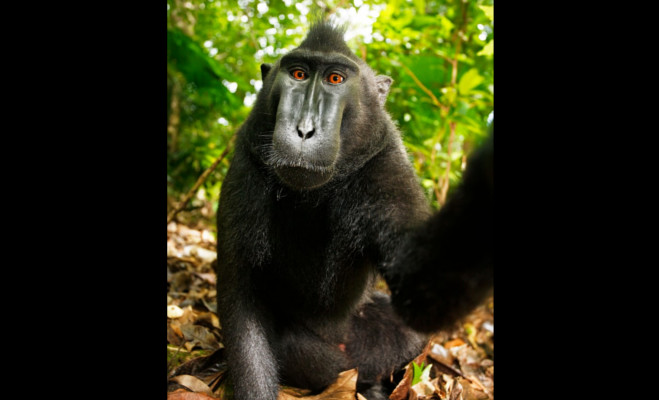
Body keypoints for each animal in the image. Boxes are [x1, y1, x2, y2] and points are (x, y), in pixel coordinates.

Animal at [215, 22, 493, 400]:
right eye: (299, 74)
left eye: (335, 79)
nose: (304, 130)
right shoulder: (248, 165)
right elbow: (241, 301)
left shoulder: (385, 165)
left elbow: (421, 290)